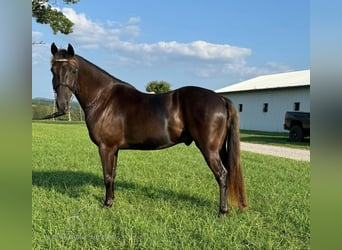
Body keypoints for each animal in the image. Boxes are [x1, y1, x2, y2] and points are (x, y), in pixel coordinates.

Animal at [46, 43, 248, 215]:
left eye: (74, 70)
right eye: (52, 70)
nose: (62, 105)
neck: (104, 99)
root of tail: (221, 98)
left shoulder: (106, 147)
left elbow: (107, 176)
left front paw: (107, 204)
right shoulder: (114, 149)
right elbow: (113, 174)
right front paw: (112, 201)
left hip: (209, 149)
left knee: (222, 175)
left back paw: (222, 212)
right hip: (220, 149)